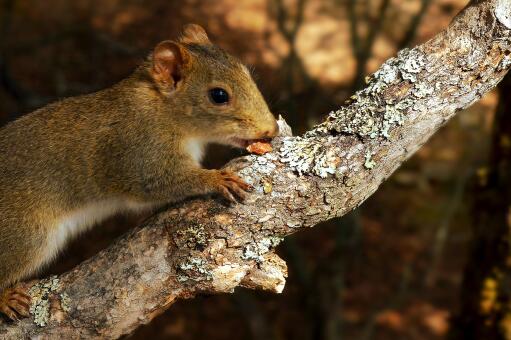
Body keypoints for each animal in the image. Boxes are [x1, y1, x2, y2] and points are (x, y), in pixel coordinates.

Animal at [0, 24, 278, 322]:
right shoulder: (141, 153)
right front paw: (216, 179)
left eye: (247, 73)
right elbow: (159, 183)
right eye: (218, 95)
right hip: (25, 234)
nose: (271, 129)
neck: (163, 109)